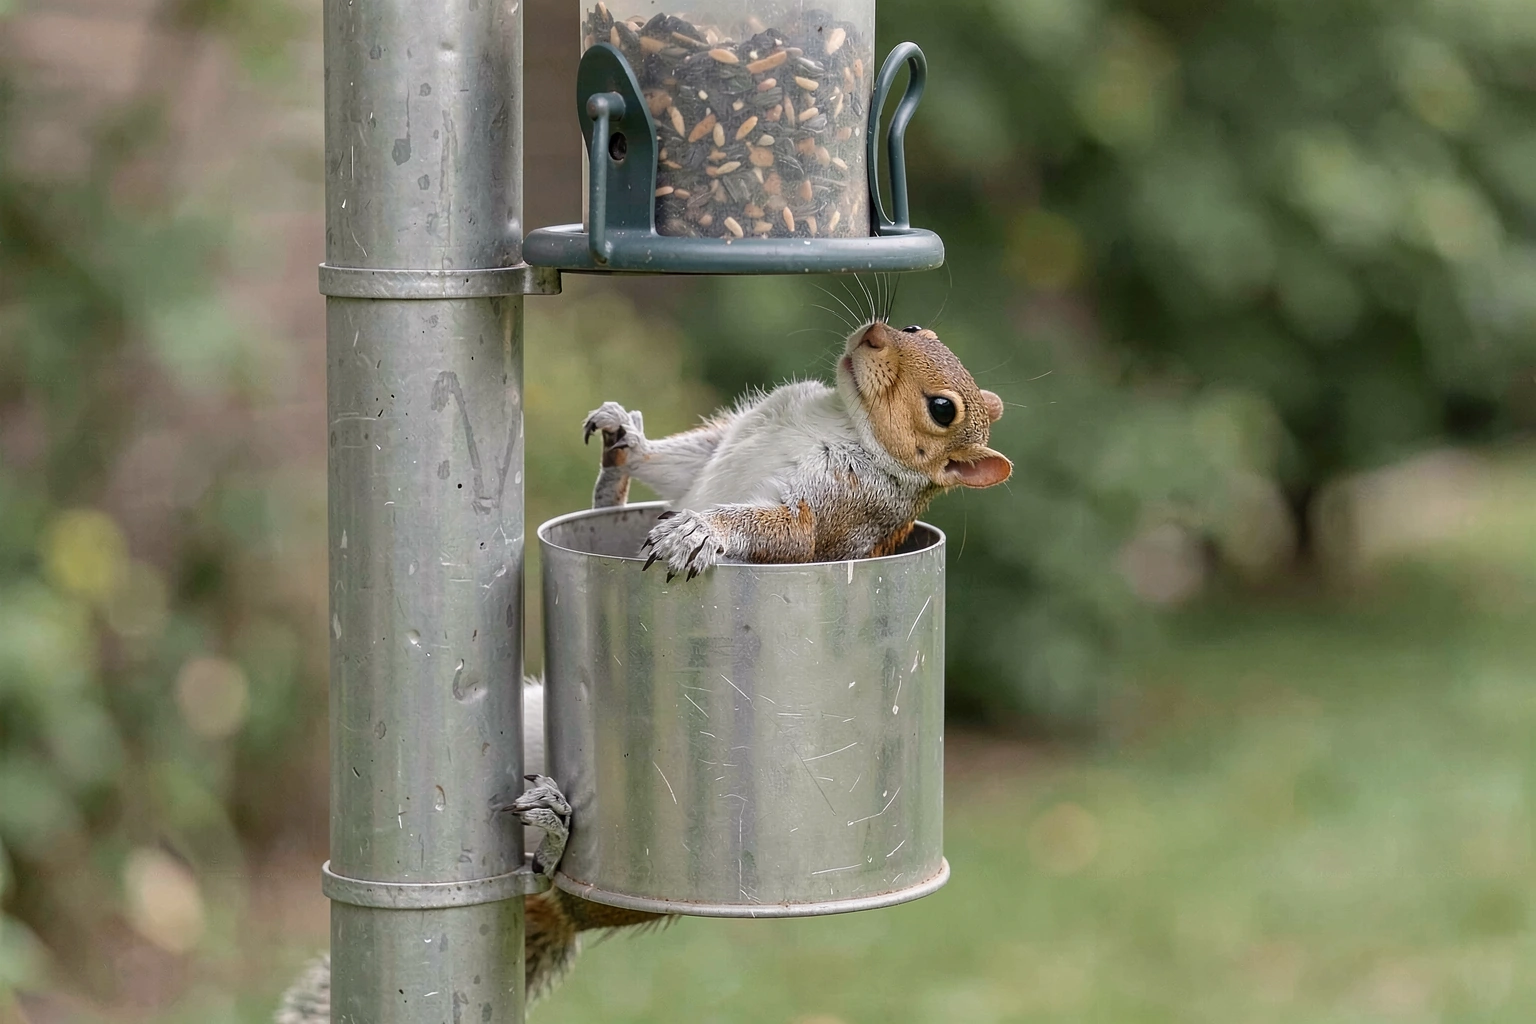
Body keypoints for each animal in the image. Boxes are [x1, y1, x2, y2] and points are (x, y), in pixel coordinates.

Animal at [583, 317, 1012, 576]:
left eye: (942, 409)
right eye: (915, 328)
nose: (874, 332)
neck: (842, 418)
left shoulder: (842, 503)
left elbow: (795, 534)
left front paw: (699, 529)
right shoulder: (724, 444)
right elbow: (682, 468)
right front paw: (630, 441)